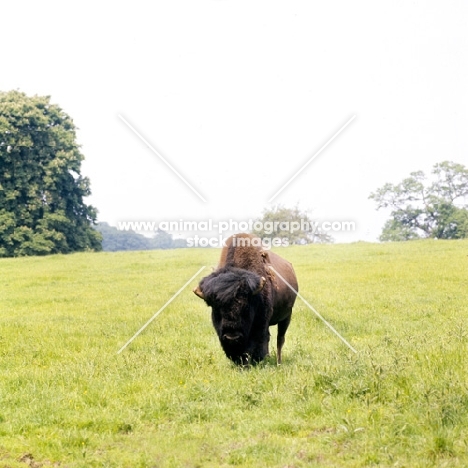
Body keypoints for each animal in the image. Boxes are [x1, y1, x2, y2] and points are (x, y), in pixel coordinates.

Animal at [193, 233, 296, 366]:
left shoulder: (260, 323)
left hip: (286, 316)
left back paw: (278, 362)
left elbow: (259, 340)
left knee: (280, 339)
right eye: (216, 308)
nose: (232, 337)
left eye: (246, 307)